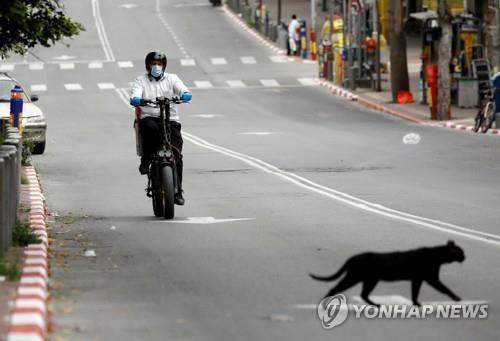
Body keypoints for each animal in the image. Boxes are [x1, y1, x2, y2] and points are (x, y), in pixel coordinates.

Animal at [308, 239, 464, 306]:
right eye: (460, 252)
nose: (465, 257)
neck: (437, 256)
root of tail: (352, 257)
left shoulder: (418, 279)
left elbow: (415, 292)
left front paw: (416, 303)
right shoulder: (431, 278)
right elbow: (445, 288)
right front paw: (457, 298)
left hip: (370, 280)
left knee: (364, 294)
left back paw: (376, 305)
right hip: (355, 277)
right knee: (336, 288)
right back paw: (325, 302)